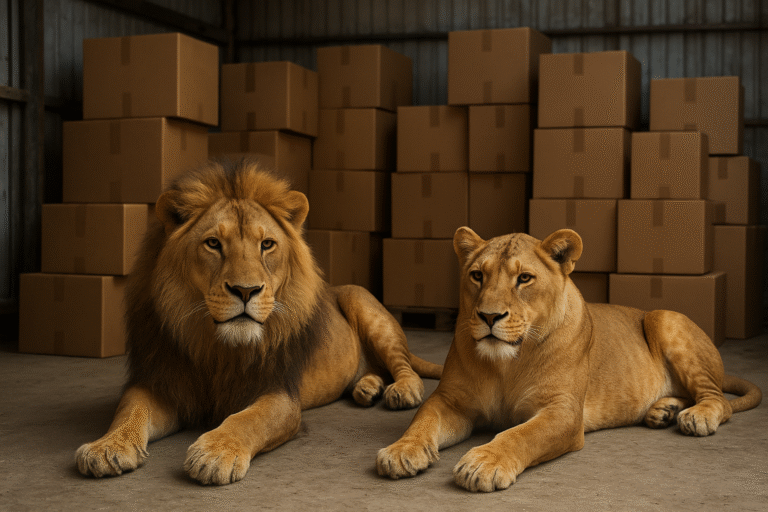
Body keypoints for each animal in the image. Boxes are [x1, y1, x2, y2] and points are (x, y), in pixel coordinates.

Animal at [75, 159, 442, 485]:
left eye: (267, 244)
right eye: (213, 243)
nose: (246, 290)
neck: (217, 348)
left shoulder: (279, 392)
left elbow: (247, 419)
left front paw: (216, 454)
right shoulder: (163, 381)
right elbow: (129, 410)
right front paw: (106, 447)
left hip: (363, 303)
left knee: (402, 364)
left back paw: (402, 390)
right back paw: (367, 387)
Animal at [377, 227, 762, 492]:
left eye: (524, 278)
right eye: (477, 275)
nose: (488, 316)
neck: (507, 364)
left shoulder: (563, 411)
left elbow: (521, 434)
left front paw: (483, 463)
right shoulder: (452, 400)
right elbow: (423, 420)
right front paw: (400, 451)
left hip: (664, 317)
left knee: (717, 399)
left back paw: (696, 416)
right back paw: (662, 410)